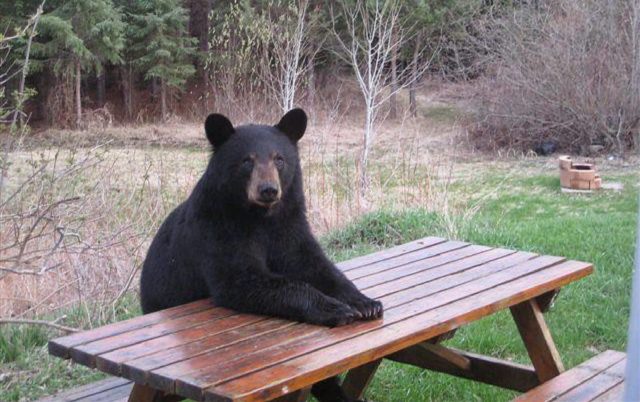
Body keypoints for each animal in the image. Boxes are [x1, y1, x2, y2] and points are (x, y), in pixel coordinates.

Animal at [140, 108, 380, 400]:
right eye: (247, 161)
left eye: (279, 159)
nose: (268, 189)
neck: (260, 217)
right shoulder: (217, 230)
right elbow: (242, 278)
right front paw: (334, 308)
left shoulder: (289, 226)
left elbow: (314, 264)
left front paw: (365, 302)